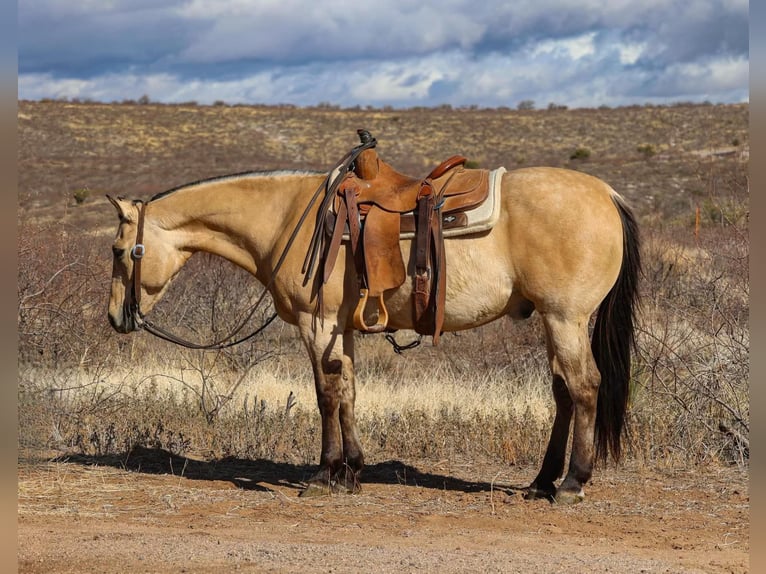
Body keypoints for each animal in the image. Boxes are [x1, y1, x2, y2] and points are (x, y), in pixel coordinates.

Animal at [106, 151, 640, 504]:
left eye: (118, 250)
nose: (115, 317)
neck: (287, 218)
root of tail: (607, 194)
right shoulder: (340, 328)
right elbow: (347, 392)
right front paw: (351, 471)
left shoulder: (316, 324)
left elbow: (325, 395)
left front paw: (325, 474)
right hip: (554, 322)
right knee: (564, 393)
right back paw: (541, 481)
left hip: (565, 318)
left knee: (585, 387)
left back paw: (571, 483)